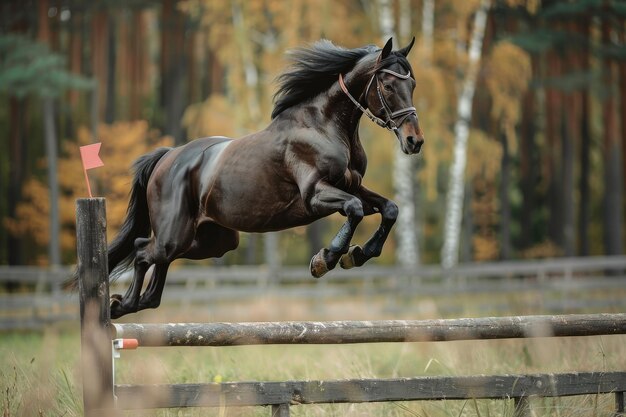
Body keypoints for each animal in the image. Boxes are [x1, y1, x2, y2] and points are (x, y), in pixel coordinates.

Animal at [97, 39, 422, 318]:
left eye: (413, 84)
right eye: (388, 85)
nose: (414, 141)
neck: (324, 125)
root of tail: (166, 158)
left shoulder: (352, 186)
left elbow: (389, 209)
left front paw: (357, 255)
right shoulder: (315, 195)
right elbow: (354, 209)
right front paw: (326, 259)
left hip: (212, 241)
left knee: (156, 272)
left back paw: (128, 304)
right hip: (174, 235)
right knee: (142, 250)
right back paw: (121, 304)